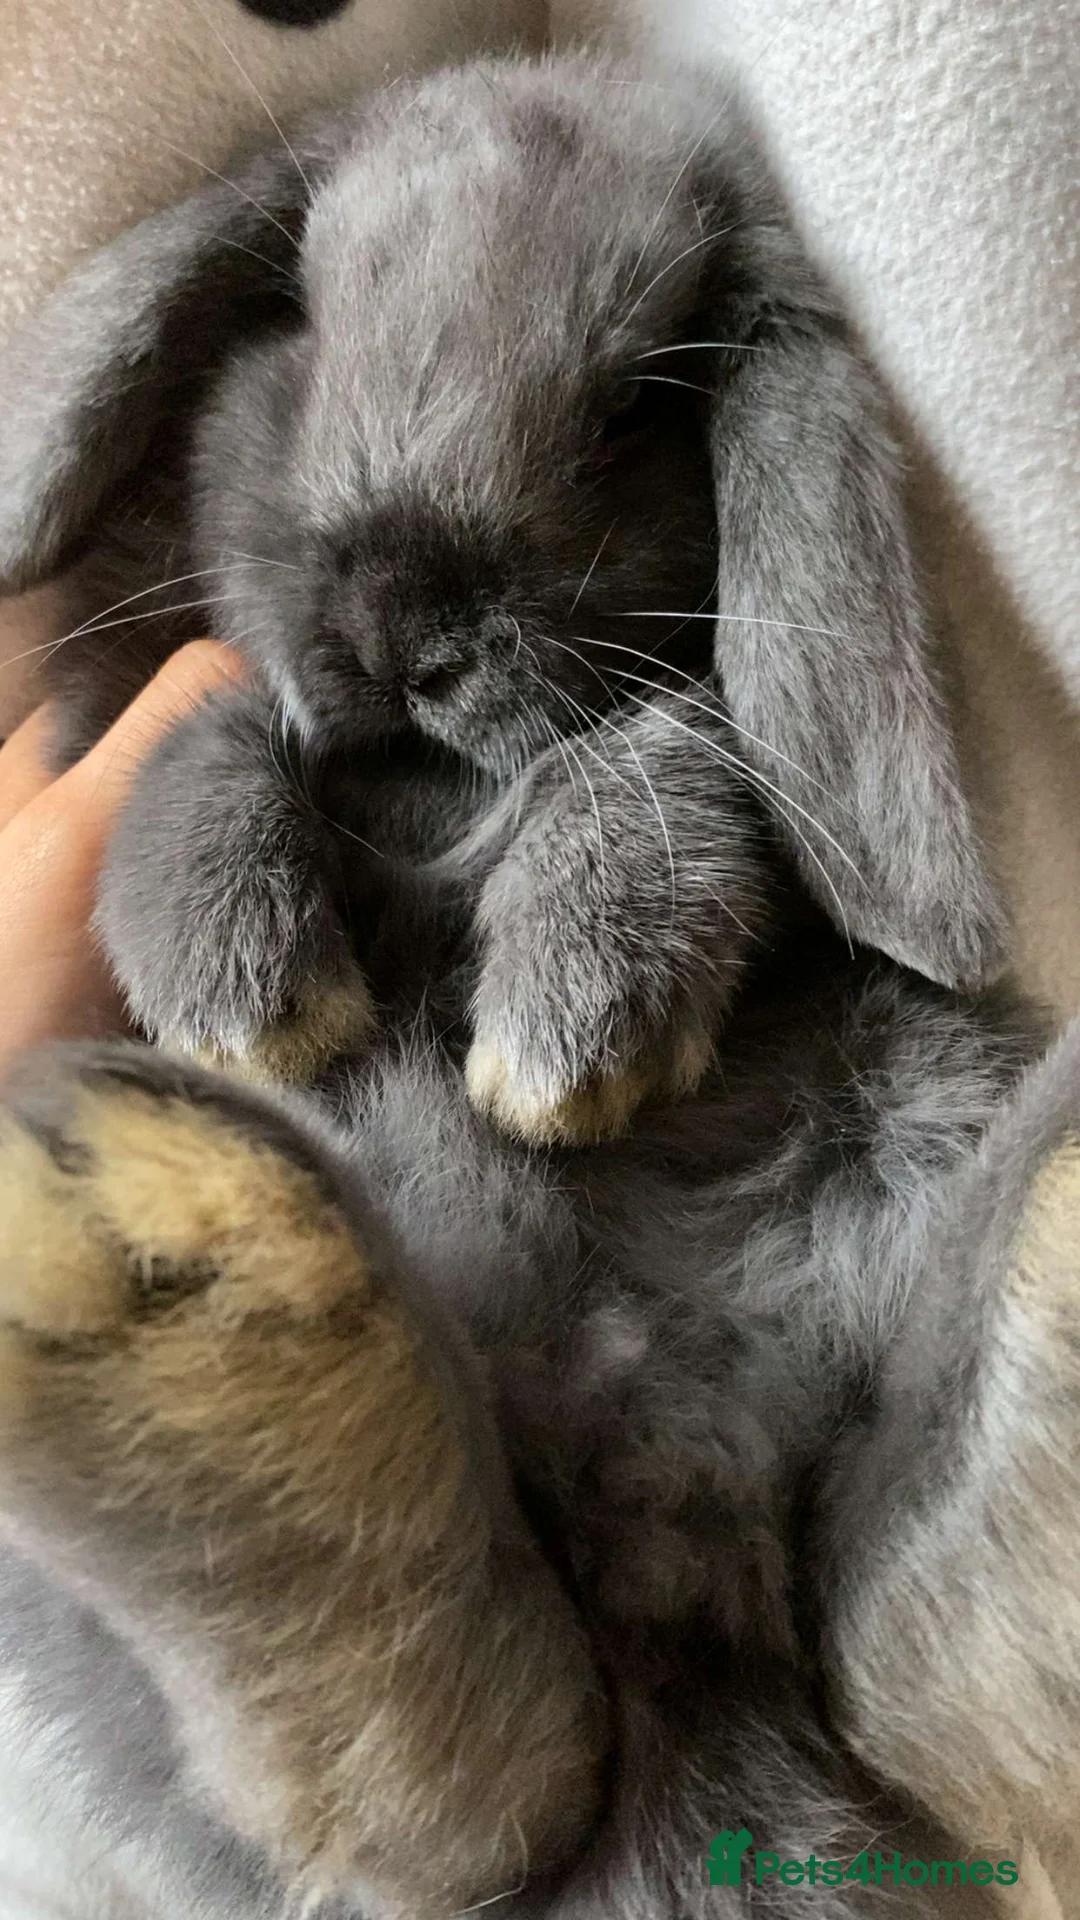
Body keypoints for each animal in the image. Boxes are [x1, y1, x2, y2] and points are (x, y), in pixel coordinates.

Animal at [1, 47, 1080, 1920]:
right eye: (298, 319)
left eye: (637, 404)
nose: (403, 621)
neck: (438, 815)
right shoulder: (179, 711)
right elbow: (204, 744)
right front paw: (251, 993)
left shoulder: (672, 757)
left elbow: (672, 751)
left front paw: (569, 1043)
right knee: (455, 1801)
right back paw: (162, 1244)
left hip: (919, 1135)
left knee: (866, 1653)